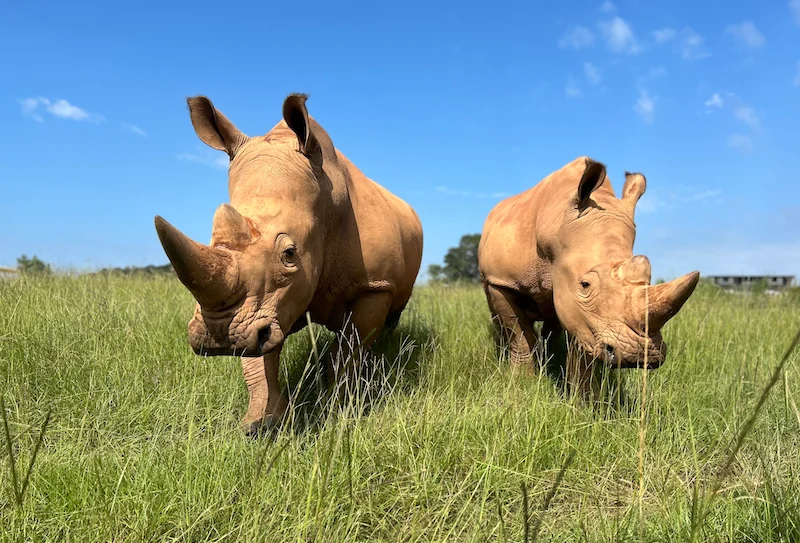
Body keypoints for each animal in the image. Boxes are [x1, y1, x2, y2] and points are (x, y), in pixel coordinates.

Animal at [154, 94, 423, 433]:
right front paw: (261, 423)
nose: (219, 336)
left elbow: (350, 349)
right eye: (213, 241)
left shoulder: (374, 285)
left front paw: (339, 409)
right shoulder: (261, 311)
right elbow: (258, 357)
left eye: (290, 253)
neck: (326, 206)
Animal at [478, 156, 699, 384]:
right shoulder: (502, 281)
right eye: (585, 285)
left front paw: (582, 391)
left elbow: (580, 346)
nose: (641, 357)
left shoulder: (581, 310)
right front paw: (522, 380)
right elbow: (518, 333)